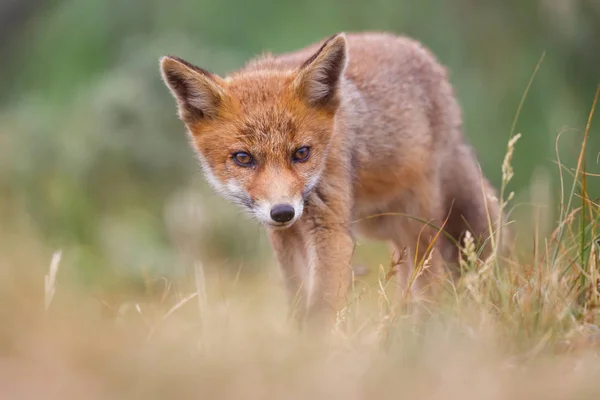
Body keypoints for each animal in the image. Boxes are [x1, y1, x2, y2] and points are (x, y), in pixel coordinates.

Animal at [159, 32, 502, 328]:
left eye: (301, 153)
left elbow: (320, 310)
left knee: (432, 276)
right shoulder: (285, 237)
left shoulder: (331, 230)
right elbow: (299, 300)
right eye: (243, 158)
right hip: (382, 224)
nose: (282, 212)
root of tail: (419, 50)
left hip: (419, 221)